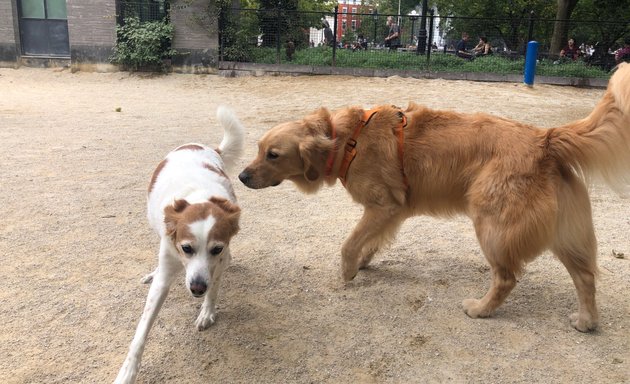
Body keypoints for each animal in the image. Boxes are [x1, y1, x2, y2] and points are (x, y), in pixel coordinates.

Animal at [116, 106, 244, 384]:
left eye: (216, 249)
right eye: (186, 248)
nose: (196, 288)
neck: (200, 196)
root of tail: (197, 145)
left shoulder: (220, 261)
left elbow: (214, 289)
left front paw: (206, 312)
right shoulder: (168, 266)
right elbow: (141, 330)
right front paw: (127, 372)